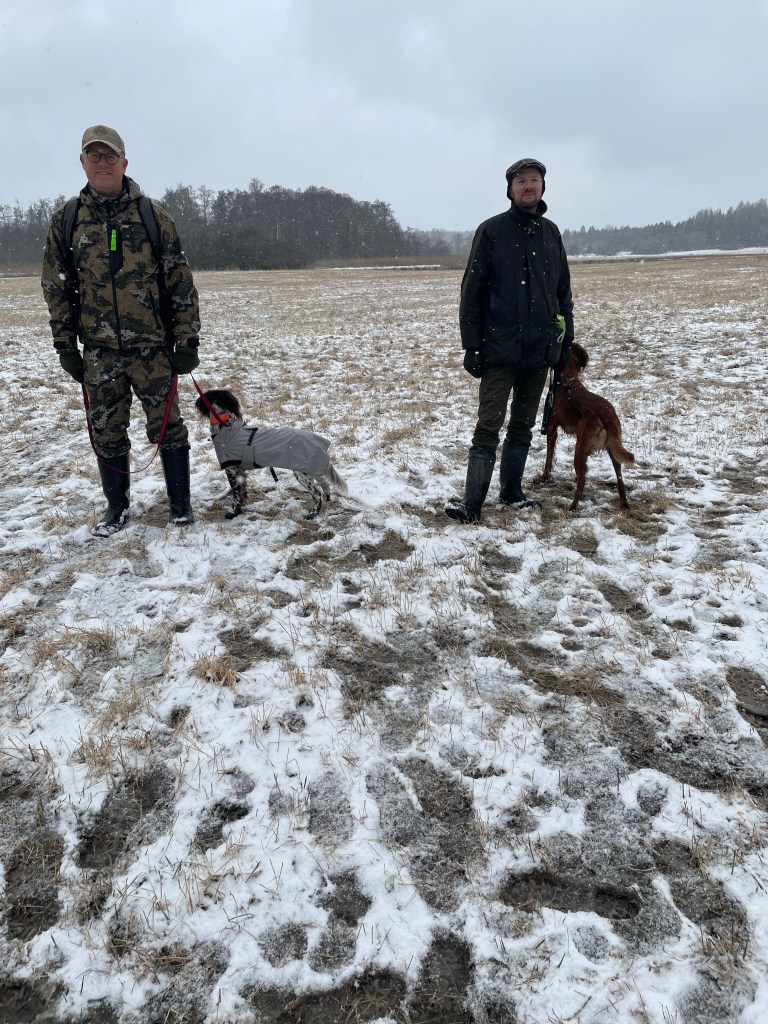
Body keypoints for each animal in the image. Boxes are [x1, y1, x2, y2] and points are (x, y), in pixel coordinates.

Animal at [195, 388, 347, 519]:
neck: (225, 427)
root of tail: (319, 445)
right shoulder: (240, 471)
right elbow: (242, 493)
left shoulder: (232, 470)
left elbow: (236, 495)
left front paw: (233, 513)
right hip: (312, 468)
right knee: (325, 485)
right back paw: (326, 500)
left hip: (301, 473)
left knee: (317, 493)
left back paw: (313, 513)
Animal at [540, 343, 635, 511]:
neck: (567, 379)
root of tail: (607, 416)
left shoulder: (551, 427)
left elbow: (549, 456)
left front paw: (545, 476)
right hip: (612, 448)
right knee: (619, 477)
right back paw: (624, 503)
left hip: (580, 448)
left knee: (582, 480)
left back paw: (572, 506)